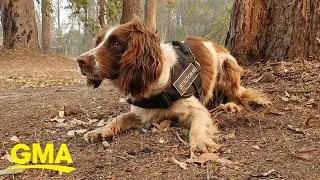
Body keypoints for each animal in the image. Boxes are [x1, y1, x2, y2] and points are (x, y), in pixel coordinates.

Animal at [77, 17, 270, 153]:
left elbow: (199, 125)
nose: (80, 60)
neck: (156, 82)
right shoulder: (143, 111)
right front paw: (100, 131)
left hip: (228, 66)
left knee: (238, 95)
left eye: (116, 43)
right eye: (98, 42)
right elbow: (120, 117)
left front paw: (201, 141)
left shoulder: (196, 109)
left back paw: (230, 105)